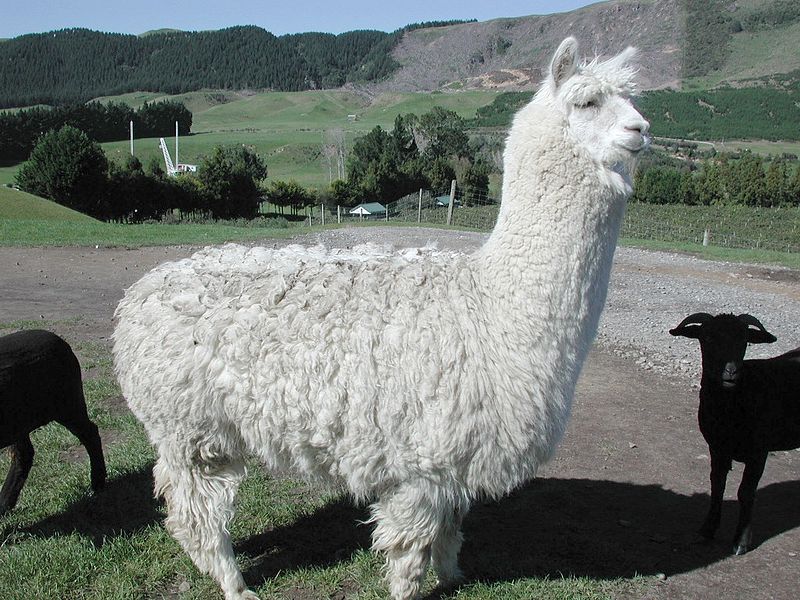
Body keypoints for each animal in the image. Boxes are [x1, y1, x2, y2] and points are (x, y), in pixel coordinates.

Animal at [0, 328, 106, 516]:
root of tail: (60, 341)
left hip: (68, 402)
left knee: (90, 433)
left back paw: (98, 482)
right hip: (18, 422)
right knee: (23, 454)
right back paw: (4, 504)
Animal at [668, 316, 800, 556]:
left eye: (744, 340)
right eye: (707, 337)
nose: (731, 371)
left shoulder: (759, 452)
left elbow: (746, 493)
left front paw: (741, 541)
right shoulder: (717, 448)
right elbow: (717, 486)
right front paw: (707, 530)